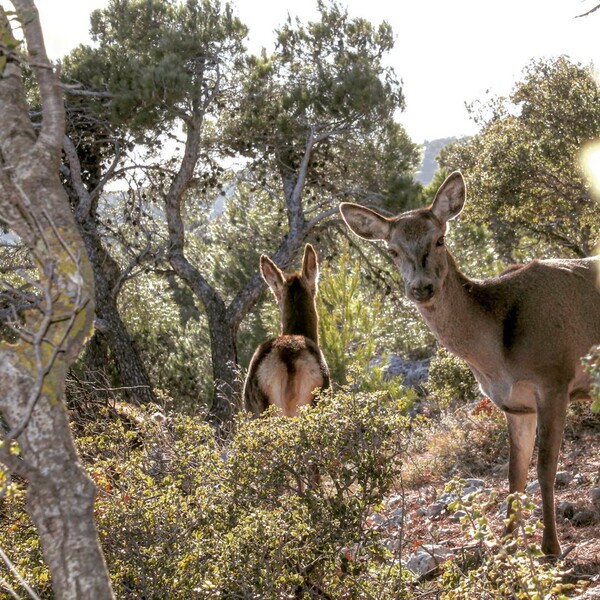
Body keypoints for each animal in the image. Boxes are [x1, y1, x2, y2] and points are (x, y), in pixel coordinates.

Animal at [340, 171, 600, 556]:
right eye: (393, 250)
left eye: (440, 239)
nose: (421, 288)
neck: (497, 355)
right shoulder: (515, 404)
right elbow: (514, 473)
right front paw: (507, 543)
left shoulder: (555, 377)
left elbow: (545, 468)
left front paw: (551, 547)